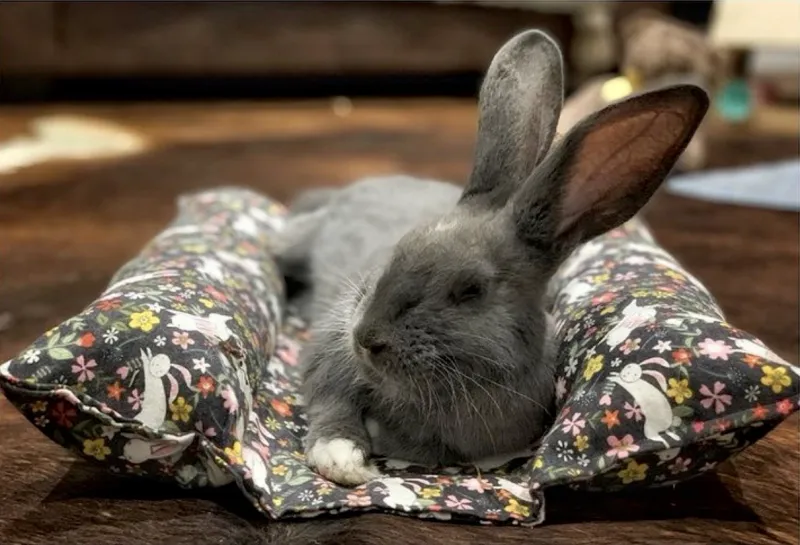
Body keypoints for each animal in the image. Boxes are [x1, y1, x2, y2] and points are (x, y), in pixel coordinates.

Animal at [276, 29, 709, 486]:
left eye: (471, 289)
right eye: (400, 248)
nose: (364, 338)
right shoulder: (329, 361)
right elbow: (331, 405)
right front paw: (341, 460)